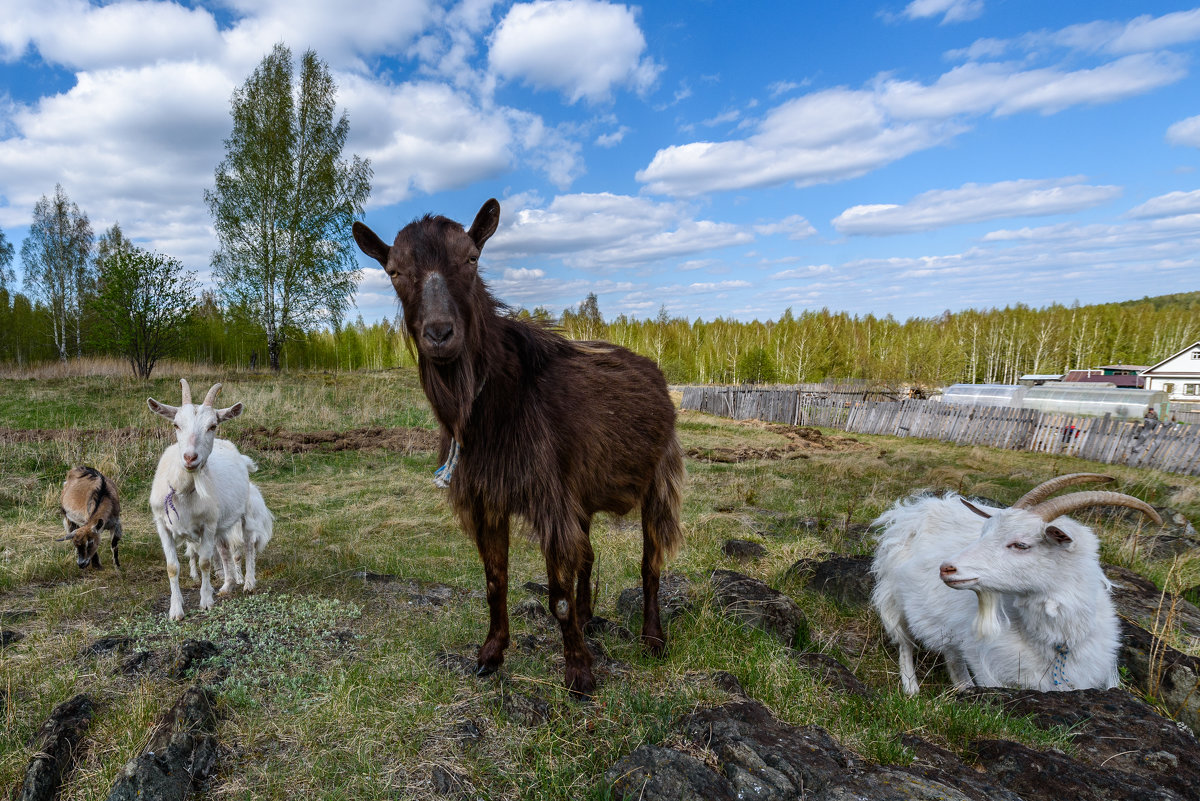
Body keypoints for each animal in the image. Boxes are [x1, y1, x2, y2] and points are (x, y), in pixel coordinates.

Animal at [148, 381, 271, 618]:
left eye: (213, 426)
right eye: (176, 425)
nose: (190, 457)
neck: (184, 491)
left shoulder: (207, 525)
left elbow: (205, 563)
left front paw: (205, 601)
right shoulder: (163, 525)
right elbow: (172, 567)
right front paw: (175, 610)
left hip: (243, 515)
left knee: (248, 545)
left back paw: (248, 583)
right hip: (220, 523)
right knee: (224, 550)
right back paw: (227, 586)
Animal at [352, 200, 686, 695]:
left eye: (472, 258)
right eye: (393, 270)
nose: (439, 333)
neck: (493, 403)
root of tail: (658, 377)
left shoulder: (550, 498)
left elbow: (558, 594)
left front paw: (579, 672)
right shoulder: (489, 498)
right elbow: (496, 579)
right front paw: (491, 653)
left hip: (659, 480)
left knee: (651, 563)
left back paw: (653, 638)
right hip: (584, 496)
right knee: (589, 554)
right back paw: (590, 617)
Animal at [873, 474, 1161, 695]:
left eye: (1021, 544)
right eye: (983, 532)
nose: (946, 568)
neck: (1056, 643)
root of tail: (916, 508)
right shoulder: (988, 662)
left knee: (951, 654)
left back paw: (962, 687)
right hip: (894, 598)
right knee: (905, 643)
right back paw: (911, 688)